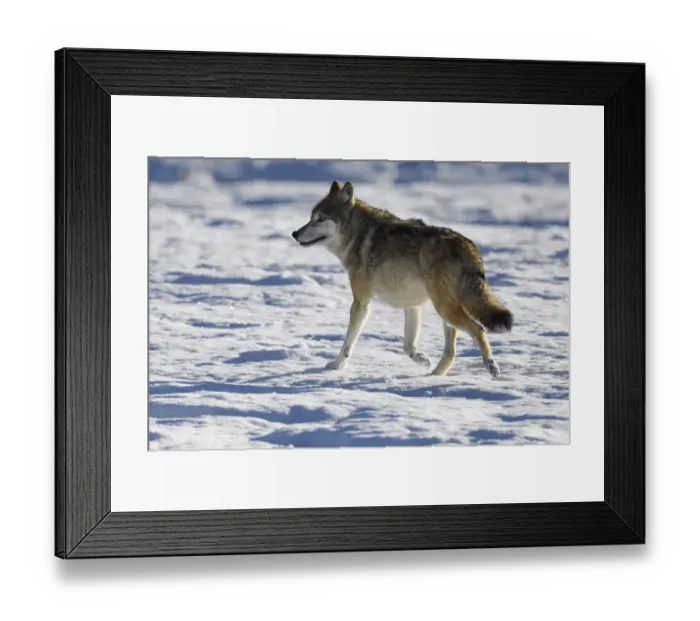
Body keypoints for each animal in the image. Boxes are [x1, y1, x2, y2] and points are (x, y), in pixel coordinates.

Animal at [292, 180, 513, 377]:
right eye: (311, 217)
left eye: (321, 219)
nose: (294, 233)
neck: (357, 235)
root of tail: (469, 246)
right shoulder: (411, 306)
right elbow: (407, 346)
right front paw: (423, 359)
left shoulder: (361, 302)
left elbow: (348, 343)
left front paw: (336, 366)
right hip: (445, 312)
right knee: (451, 352)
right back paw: (433, 376)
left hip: (445, 309)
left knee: (479, 329)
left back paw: (491, 366)